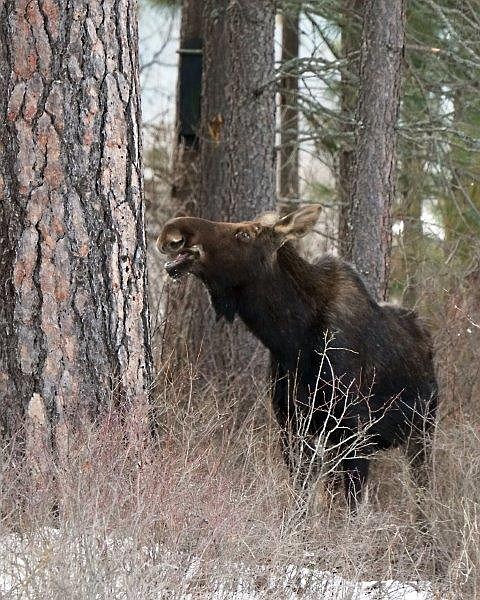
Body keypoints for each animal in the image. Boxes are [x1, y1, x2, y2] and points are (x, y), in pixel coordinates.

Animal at [159, 205, 436, 506]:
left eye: (244, 234)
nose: (172, 233)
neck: (292, 342)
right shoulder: (291, 427)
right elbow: (301, 501)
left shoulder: (355, 432)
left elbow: (351, 507)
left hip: (422, 432)